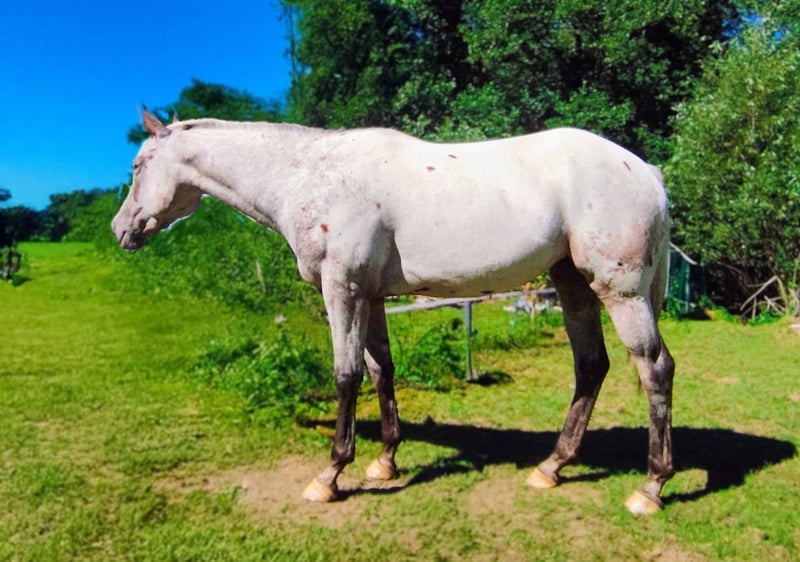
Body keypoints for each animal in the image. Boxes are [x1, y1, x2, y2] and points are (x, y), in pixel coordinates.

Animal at [112, 109, 675, 515]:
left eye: (137, 167)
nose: (122, 230)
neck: (308, 174)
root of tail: (645, 170)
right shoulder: (372, 295)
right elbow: (382, 368)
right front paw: (384, 463)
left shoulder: (341, 289)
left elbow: (346, 374)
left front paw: (330, 475)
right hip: (573, 284)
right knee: (591, 366)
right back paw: (551, 467)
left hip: (620, 292)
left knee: (655, 369)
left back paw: (650, 488)